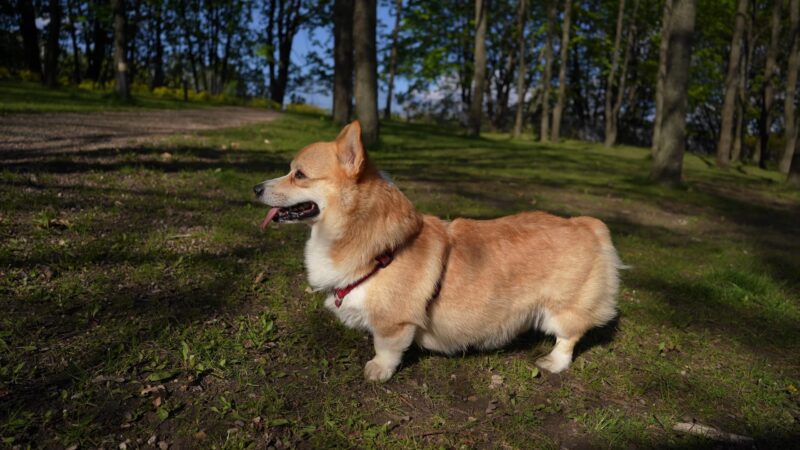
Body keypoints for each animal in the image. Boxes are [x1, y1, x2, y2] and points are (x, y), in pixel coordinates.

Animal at [253, 121, 620, 382]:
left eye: (299, 175)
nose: (255, 187)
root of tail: (587, 224)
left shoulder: (394, 322)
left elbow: (385, 348)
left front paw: (378, 371)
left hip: (563, 307)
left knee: (569, 337)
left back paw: (553, 362)